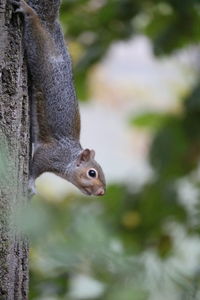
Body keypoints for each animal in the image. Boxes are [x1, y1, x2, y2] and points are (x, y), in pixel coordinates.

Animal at [10, 0, 106, 197]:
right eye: (92, 173)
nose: (101, 192)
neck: (69, 157)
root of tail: (51, 25)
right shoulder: (51, 154)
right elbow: (35, 167)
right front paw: (31, 185)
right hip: (40, 54)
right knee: (36, 31)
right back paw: (29, 12)